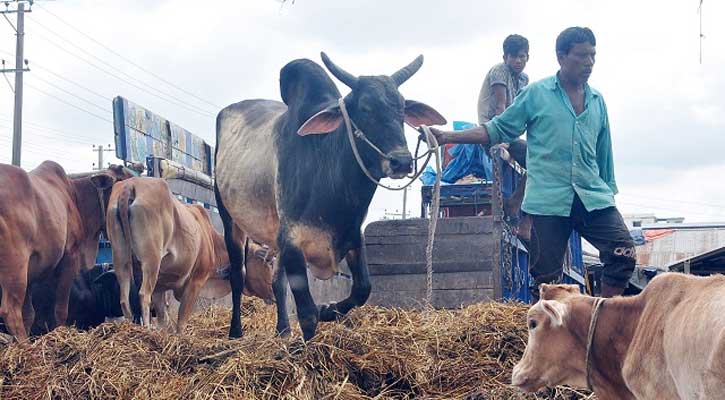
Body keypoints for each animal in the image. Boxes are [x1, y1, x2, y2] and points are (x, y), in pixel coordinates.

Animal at [0, 161, 129, 340]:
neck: (75, 195)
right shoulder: (70, 257)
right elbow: (61, 310)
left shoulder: (31, 274)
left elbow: (29, 314)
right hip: (15, 266)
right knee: (10, 311)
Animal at [107, 177, 274, 332]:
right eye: (266, 260)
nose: (273, 294)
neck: (211, 240)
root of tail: (131, 184)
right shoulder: (196, 281)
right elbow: (181, 321)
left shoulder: (160, 287)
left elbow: (162, 319)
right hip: (151, 262)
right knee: (143, 295)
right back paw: (147, 328)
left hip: (121, 260)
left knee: (124, 299)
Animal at [212, 53, 446, 340]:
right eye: (365, 108)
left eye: (402, 109)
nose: (401, 161)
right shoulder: (293, 241)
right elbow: (307, 313)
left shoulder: (352, 236)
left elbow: (362, 289)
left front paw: (327, 309)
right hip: (230, 220)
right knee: (237, 274)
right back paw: (235, 332)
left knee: (277, 282)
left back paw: (283, 331)